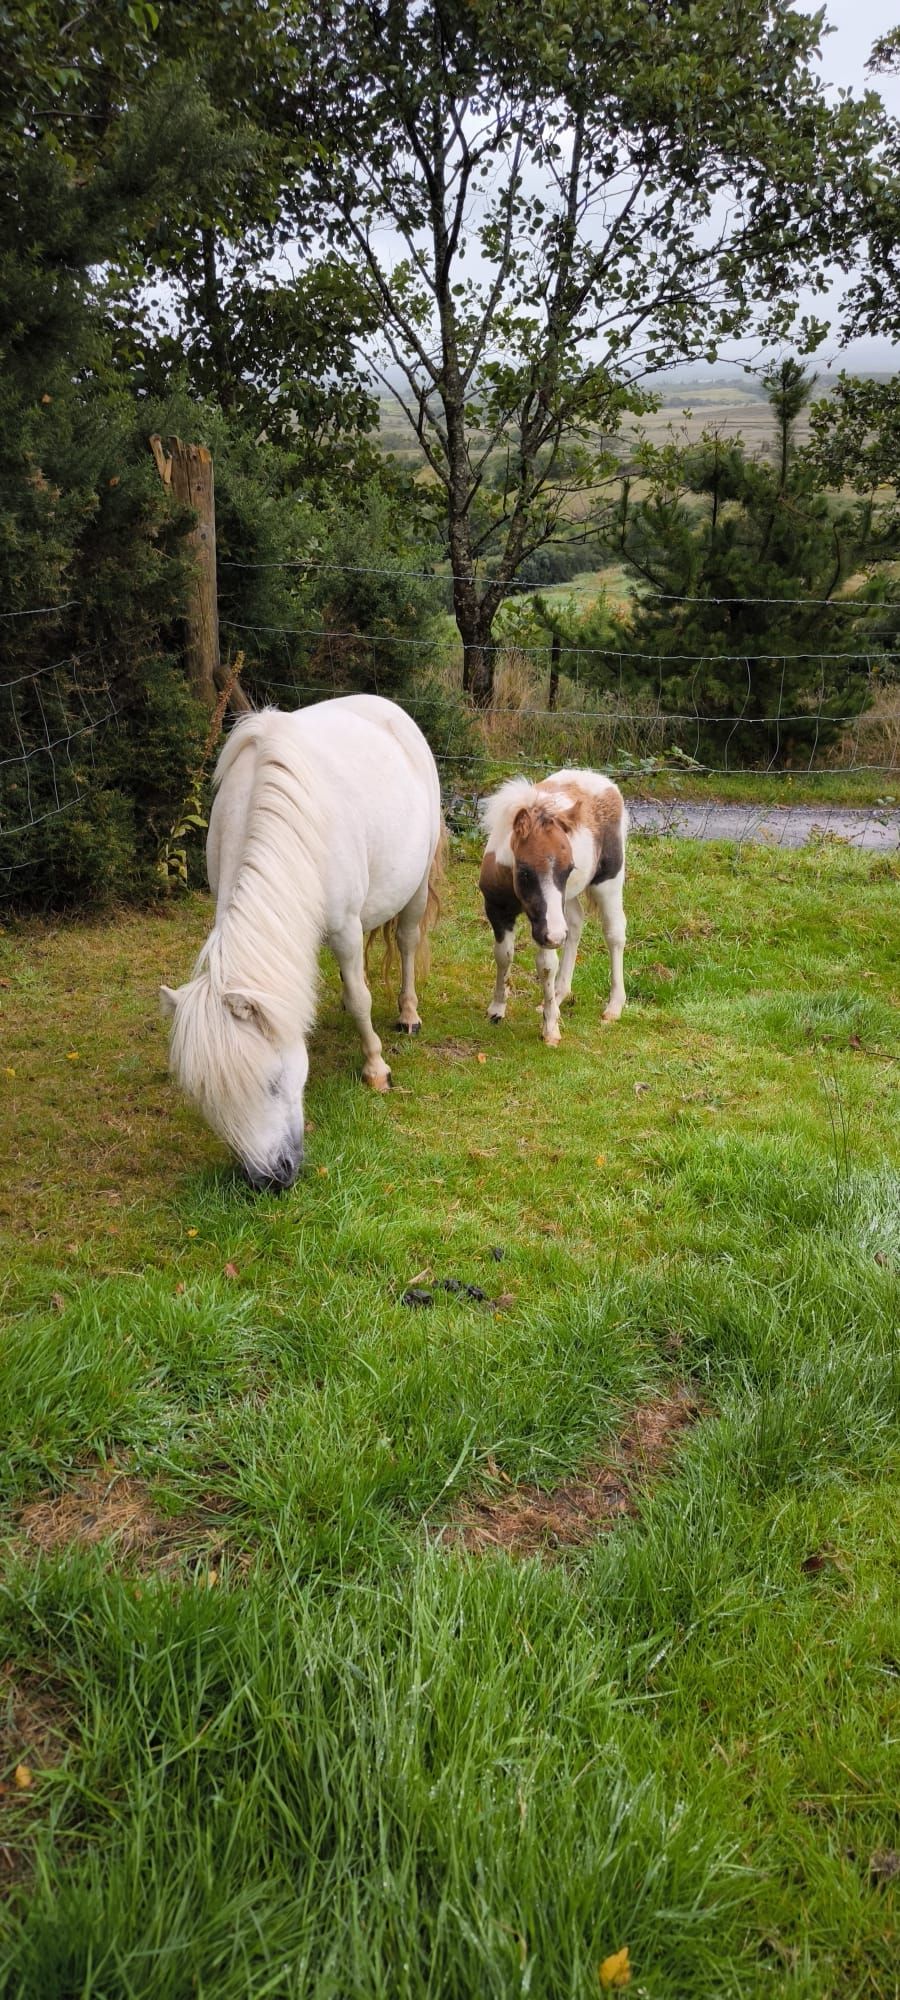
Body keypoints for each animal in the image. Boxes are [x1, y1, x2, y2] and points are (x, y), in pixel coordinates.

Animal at [160, 695, 444, 1189]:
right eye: (210, 1103)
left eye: (273, 1083)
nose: (269, 1180)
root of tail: (386, 707)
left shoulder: (345, 929)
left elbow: (362, 999)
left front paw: (376, 1068)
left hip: (416, 888)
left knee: (407, 942)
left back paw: (408, 1014)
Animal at [478, 768, 628, 1046]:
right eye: (525, 872)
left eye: (569, 868)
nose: (555, 935)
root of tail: (606, 783)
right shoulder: (498, 909)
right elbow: (504, 955)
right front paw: (497, 1009)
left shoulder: (546, 927)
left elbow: (546, 966)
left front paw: (550, 1030)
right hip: (565, 903)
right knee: (576, 924)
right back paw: (559, 996)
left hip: (608, 882)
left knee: (614, 933)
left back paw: (613, 1007)